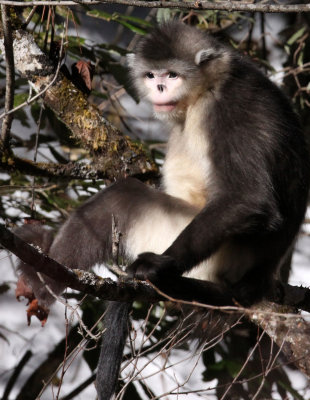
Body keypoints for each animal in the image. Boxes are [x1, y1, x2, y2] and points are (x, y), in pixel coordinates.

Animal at [14, 21, 310, 400]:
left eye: (172, 74)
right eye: (152, 74)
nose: (159, 86)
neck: (210, 86)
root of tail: (257, 277)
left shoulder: (230, 108)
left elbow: (249, 198)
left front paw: (159, 265)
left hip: (203, 250)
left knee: (123, 196)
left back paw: (41, 281)